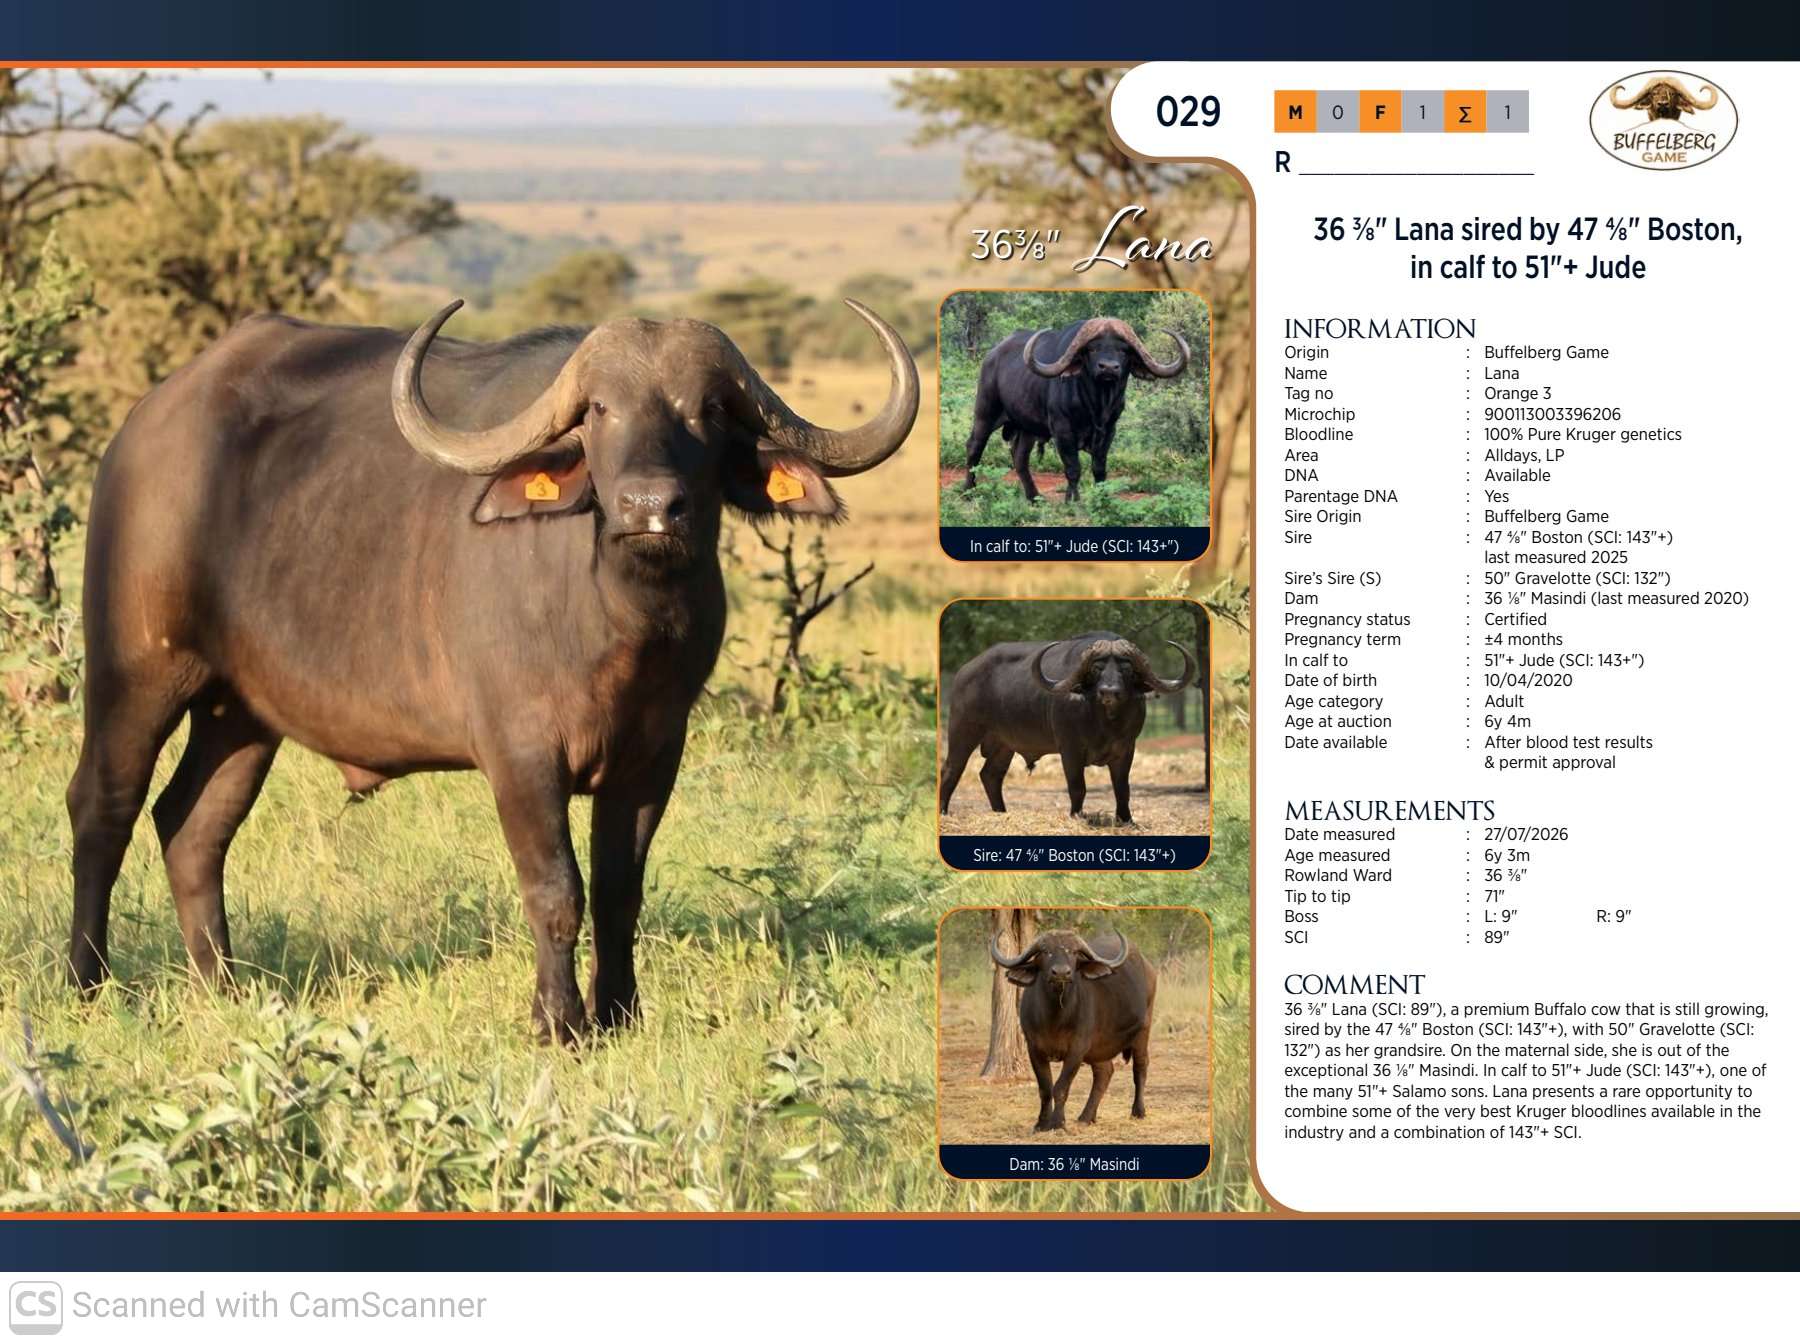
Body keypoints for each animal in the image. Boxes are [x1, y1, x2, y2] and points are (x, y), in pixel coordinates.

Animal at [66, 296, 918, 1044]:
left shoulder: (653, 757)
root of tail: (145, 424)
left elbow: (620, 893)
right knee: (103, 809)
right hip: (135, 675)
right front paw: (558, 1023)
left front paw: (618, 1016)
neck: (618, 620)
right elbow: (556, 889)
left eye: (708, 408)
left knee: (191, 827)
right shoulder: (520, 754)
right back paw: (89, 982)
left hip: (240, 714)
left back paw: (225, 985)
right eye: (598, 410)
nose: (650, 507)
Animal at [938, 632, 1196, 826]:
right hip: (963, 731)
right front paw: (1076, 815)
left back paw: (1001, 812)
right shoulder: (1070, 749)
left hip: (1004, 745)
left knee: (991, 775)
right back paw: (943, 812)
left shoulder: (1126, 749)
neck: (1105, 723)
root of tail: (964, 671)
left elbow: (1123, 788)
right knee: (951, 770)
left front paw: (1126, 819)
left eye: (1127, 670)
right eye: (1097, 669)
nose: (1109, 692)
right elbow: (1077, 786)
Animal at [961, 316, 1188, 503]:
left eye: (1123, 350)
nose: (1108, 368)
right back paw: (968, 491)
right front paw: (1073, 500)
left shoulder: (1110, 430)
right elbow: (1073, 468)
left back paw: (1034, 497)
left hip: (1027, 428)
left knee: (1019, 458)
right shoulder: (1063, 431)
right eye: (1093, 349)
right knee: (974, 447)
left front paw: (1102, 498)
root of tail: (991, 356)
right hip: (985, 413)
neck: (1096, 406)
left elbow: (1099, 468)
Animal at [989, 928, 1155, 1130]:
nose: (1061, 972)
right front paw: (1042, 1123)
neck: (1056, 1018)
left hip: (1143, 1031)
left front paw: (1057, 1122)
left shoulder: (1077, 1049)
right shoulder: (1034, 1048)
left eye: (1074, 952)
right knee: (1104, 1073)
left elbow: (1061, 1087)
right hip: (1099, 1047)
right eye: (1045, 952)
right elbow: (1045, 1088)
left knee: (1140, 1067)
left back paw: (1138, 1111)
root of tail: (1148, 967)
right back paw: (1086, 1117)